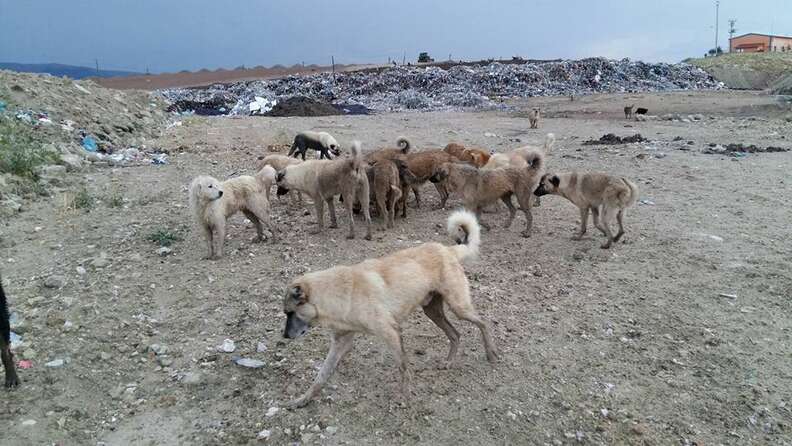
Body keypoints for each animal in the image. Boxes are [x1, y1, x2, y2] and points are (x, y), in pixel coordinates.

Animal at [282, 211, 498, 410]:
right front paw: (302, 400)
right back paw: (449, 362)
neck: (337, 293)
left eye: (290, 313)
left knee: (483, 323)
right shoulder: (340, 341)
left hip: (458, 307)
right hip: (433, 312)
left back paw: (491, 353)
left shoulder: (391, 332)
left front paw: (405, 397)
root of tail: (448, 249)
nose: (284, 336)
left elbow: (403, 367)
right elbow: (321, 376)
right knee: (455, 334)